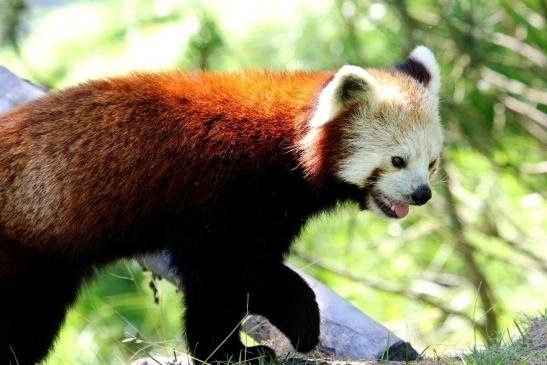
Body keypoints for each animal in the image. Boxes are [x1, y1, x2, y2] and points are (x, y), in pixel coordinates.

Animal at [0, 46, 444, 364]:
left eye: (432, 163)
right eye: (397, 161)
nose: (422, 194)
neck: (286, 145)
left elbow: (221, 286)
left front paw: (230, 352)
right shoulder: (221, 194)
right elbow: (224, 276)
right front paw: (294, 323)